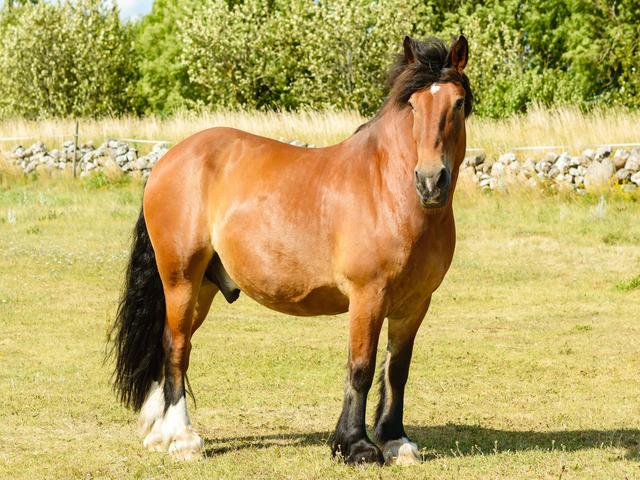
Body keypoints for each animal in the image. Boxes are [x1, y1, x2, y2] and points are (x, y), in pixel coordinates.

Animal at [109, 34, 473, 465]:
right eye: (414, 106)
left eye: (457, 103)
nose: (431, 181)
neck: (388, 188)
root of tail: (167, 161)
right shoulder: (368, 296)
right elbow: (361, 367)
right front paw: (355, 446)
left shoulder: (415, 303)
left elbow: (396, 370)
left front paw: (396, 441)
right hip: (180, 278)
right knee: (176, 346)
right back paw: (182, 438)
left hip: (203, 287)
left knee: (167, 345)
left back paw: (158, 432)